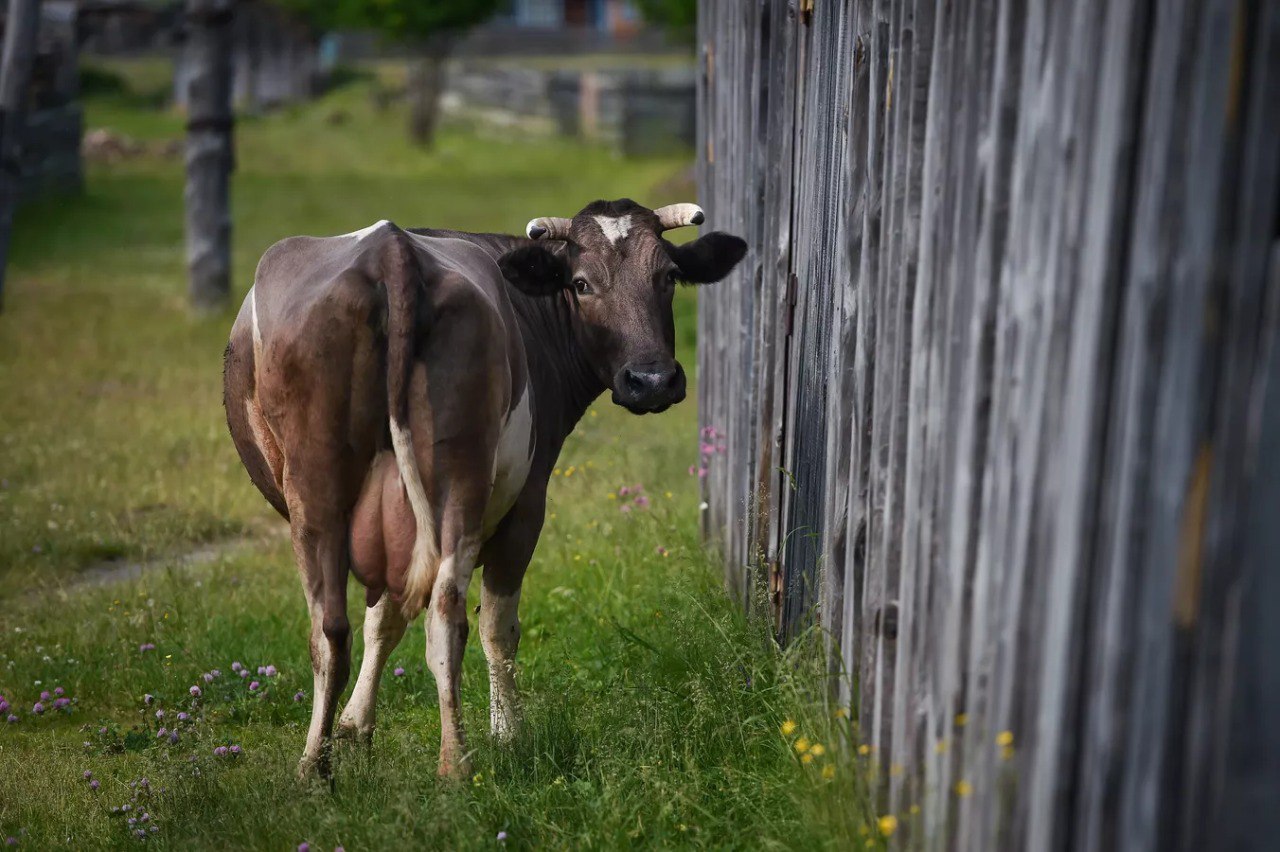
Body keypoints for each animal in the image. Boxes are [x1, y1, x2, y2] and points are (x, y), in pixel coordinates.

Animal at [222, 197, 747, 777]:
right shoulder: (528, 502)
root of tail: (392, 249)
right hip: (458, 481)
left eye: (669, 276)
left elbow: (383, 618)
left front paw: (355, 727)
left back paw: (318, 767)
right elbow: (498, 626)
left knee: (333, 628)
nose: (651, 381)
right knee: (448, 616)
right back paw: (456, 762)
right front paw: (507, 735)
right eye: (582, 283)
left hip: (320, 492)